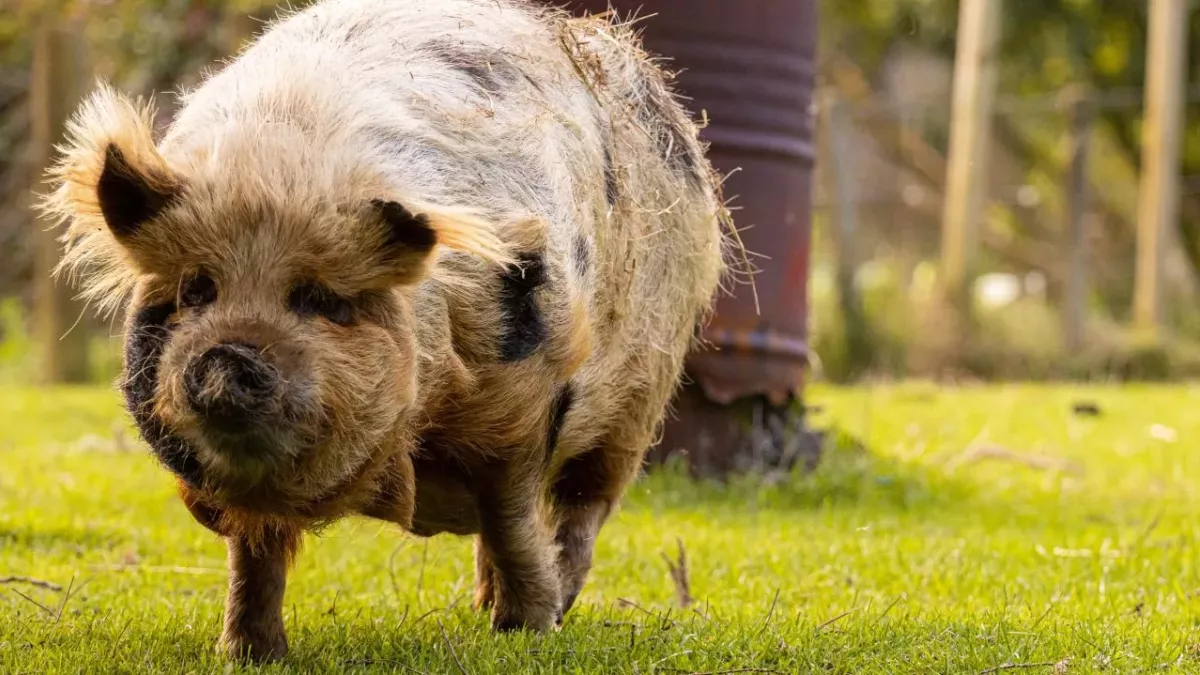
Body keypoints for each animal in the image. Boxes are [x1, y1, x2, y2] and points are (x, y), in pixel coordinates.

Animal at [42, 0, 728, 662]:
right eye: (195, 290)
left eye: (323, 300)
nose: (227, 358)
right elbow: (254, 554)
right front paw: (246, 653)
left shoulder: (524, 405)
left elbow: (511, 516)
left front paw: (528, 633)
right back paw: (483, 605)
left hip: (640, 400)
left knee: (582, 508)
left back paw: (547, 605)